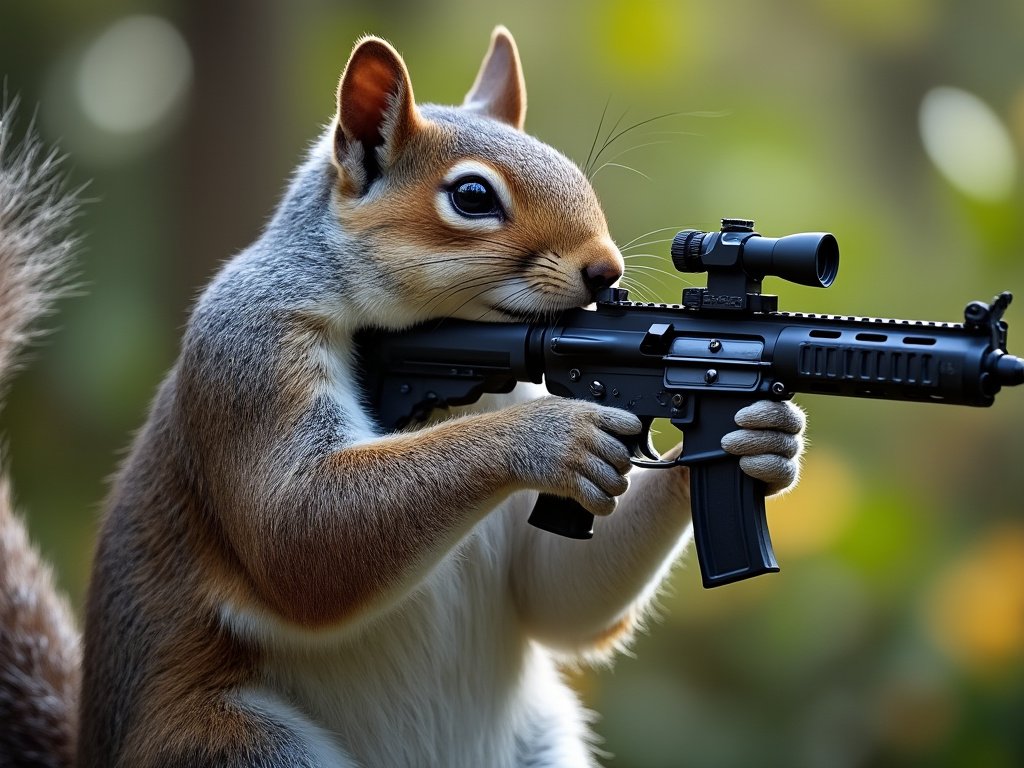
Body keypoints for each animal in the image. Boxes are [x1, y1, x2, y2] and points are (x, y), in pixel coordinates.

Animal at [0, 27, 805, 768]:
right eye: (472, 196)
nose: (606, 271)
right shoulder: (246, 349)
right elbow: (295, 530)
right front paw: (552, 434)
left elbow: (557, 597)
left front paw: (766, 439)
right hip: (235, 744)